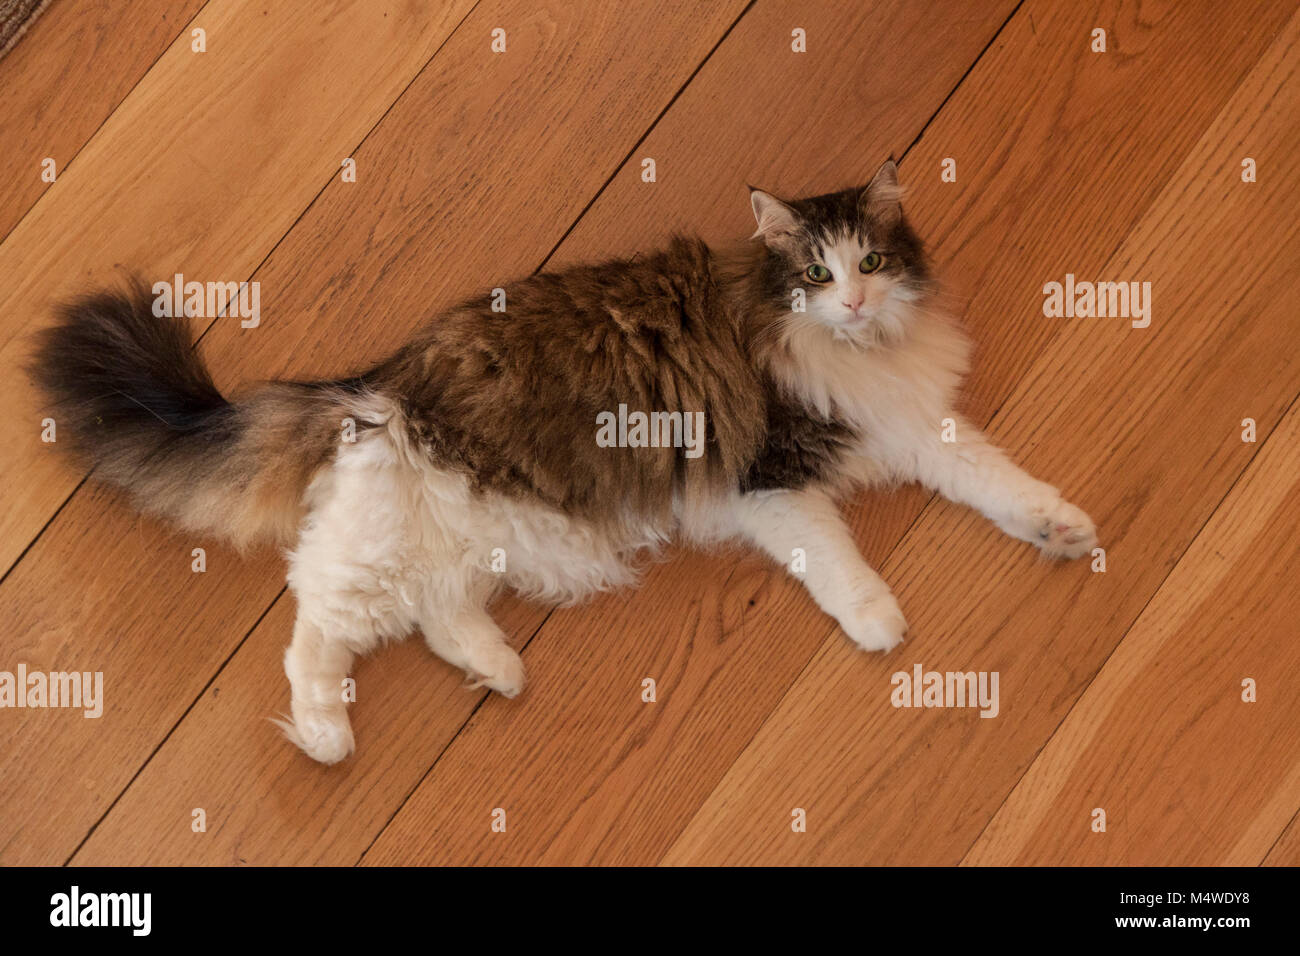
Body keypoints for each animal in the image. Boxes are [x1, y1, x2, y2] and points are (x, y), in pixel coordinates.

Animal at [30, 160, 1097, 764]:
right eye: (814, 274)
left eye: (870, 264)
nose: (856, 301)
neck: (856, 352)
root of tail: (375, 385)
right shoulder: (768, 478)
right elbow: (836, 559)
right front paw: (879, 623)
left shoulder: (911, 426)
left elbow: (999, 483)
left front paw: (1062, 528)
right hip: (389, 547)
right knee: (315, 626)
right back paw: (328, 737)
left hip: (472, 542)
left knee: (435, 615)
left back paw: (498, 670)